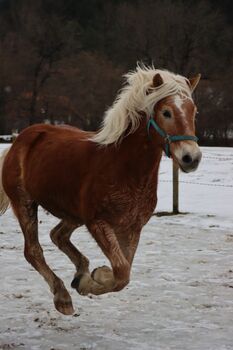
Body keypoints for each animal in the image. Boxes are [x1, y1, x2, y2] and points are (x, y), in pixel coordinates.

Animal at [0, 65, 201, 314]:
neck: (124, 168)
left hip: (73, 213)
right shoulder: (98, 223)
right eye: (166, 112)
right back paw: (62, 296)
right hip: (25, 204)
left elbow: (124, 272)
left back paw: (80, 272)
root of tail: (18, 141)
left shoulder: (133, 228)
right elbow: (121, 272)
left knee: (58, 235)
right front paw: (94, 279)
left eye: (193, 112)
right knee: (33, 251)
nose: (191, 158)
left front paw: (88, 279)